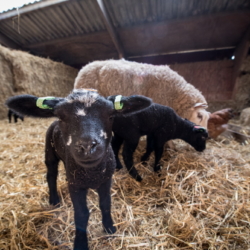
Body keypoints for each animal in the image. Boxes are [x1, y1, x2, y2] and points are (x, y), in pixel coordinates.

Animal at [5, 90, 151, 250]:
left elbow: (106, 204)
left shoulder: (106, 180)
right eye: (61, 117)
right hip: (49, 152)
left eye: (110, 116)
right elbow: (81, 214)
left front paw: (109, 227)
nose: (87, 146)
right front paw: (80, 243)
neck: (92, 173)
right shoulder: (76, 185)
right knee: (51, 175)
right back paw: (54, 200)